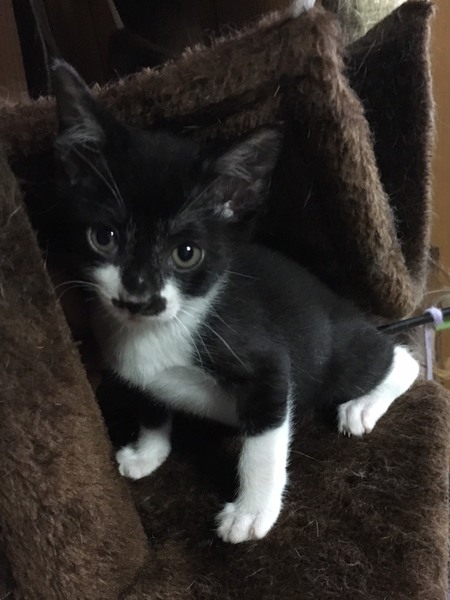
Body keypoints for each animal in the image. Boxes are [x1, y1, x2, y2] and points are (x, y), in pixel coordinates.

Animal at [49, 60, 419, 544]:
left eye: (186, 253)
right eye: (104, 237)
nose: (138, 295)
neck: (161, 328)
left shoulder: (267, 368)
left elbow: (263, 442)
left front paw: (252, 511)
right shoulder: (138, 373)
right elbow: (150, 407)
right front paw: (148, 453)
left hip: (340, 356)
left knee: (397, 359)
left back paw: (363, 404)